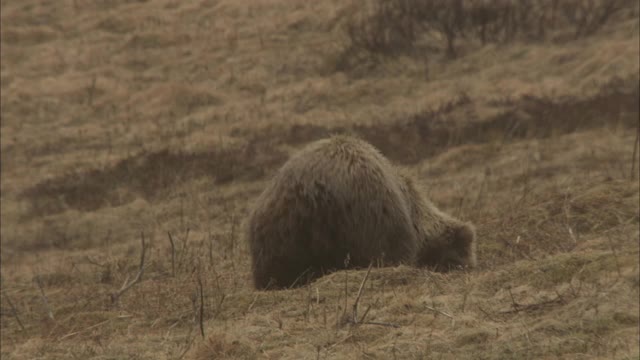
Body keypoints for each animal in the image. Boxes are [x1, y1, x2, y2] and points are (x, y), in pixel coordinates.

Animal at [245, 135, 476, 290]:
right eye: (462, 257)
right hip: (365, 218)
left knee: (277, 271)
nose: (470, 268)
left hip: (279, 229)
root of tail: (312, 190)